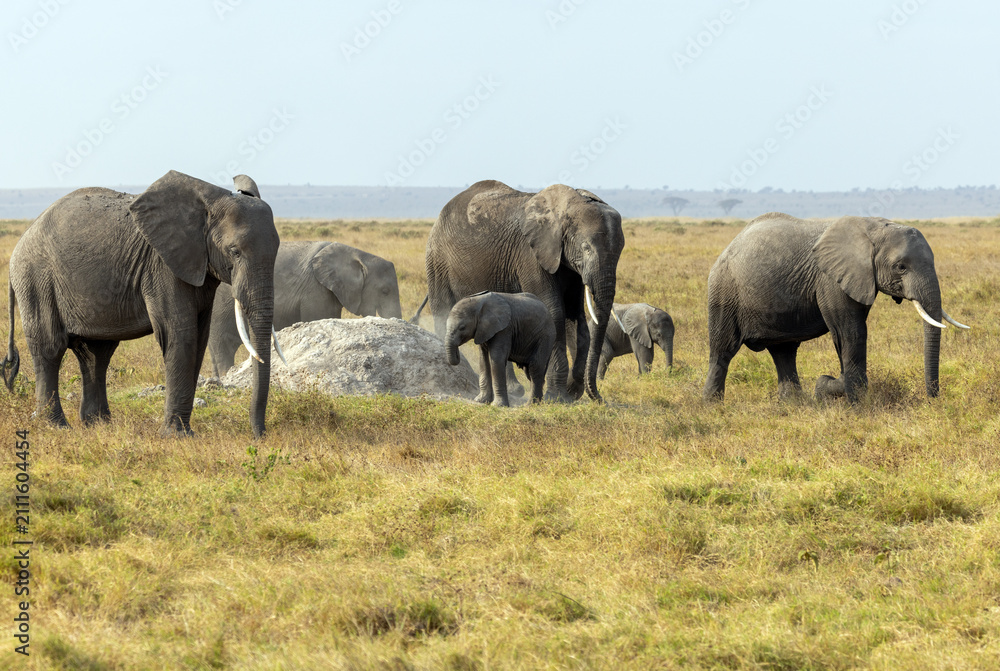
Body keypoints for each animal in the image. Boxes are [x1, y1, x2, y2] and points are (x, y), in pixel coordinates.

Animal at [1, 170, 280, 437]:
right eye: (234, 252)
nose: (259, 436)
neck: (210, 200)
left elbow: (200, 338)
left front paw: (183, 432)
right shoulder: (162, 266)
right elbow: (181, 335)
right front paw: (177, 436)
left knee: (96, 353)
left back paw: (98, 425)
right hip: (36, 279)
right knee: (50, 347)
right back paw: (57, 427)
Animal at [424, 180, 625, 403]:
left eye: (620, 251)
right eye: (586, 248)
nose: (599, 399)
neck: (567, 206)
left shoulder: (569, 265)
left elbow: (577, 317)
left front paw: (571, 392)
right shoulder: (530, 255)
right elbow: (555, 313)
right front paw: (557, 397)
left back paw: (514, 390)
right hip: (437, 260)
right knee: (442, 311)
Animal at [702, 212, 969, 403]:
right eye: (901, 267)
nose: (933, 400)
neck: (874, 228)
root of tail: (729, 246)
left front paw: (830, 388)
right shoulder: (830, 280)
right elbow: (850, 333)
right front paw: (842, 392)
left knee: (784, 351)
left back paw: (794, 405)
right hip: (724, 292)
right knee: (723, 350)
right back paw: (713, 406)